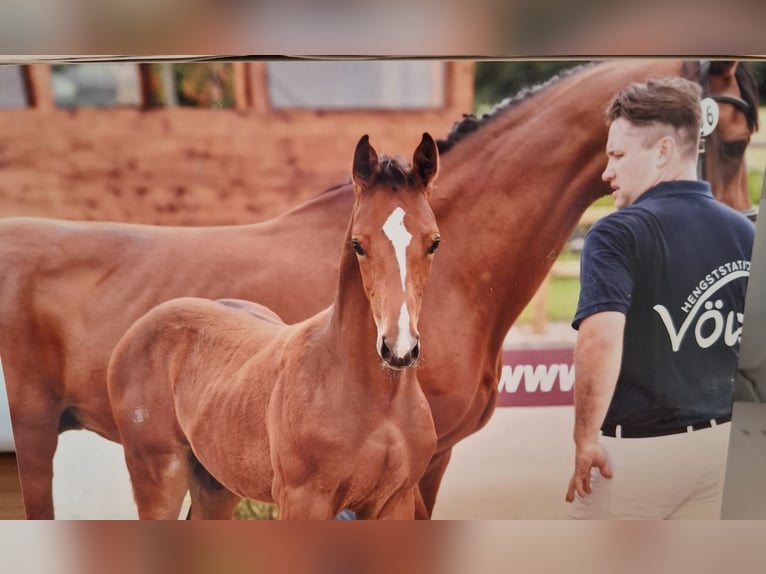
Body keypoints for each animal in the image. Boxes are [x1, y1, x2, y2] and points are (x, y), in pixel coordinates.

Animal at [108, 135, 444, 520]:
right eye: (358, 244)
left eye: (434, 242)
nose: (398, 348)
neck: (378, 401)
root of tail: (136, 330)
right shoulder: (303, 501)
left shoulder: (393, 502)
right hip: (159, 476)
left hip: (216, 484)